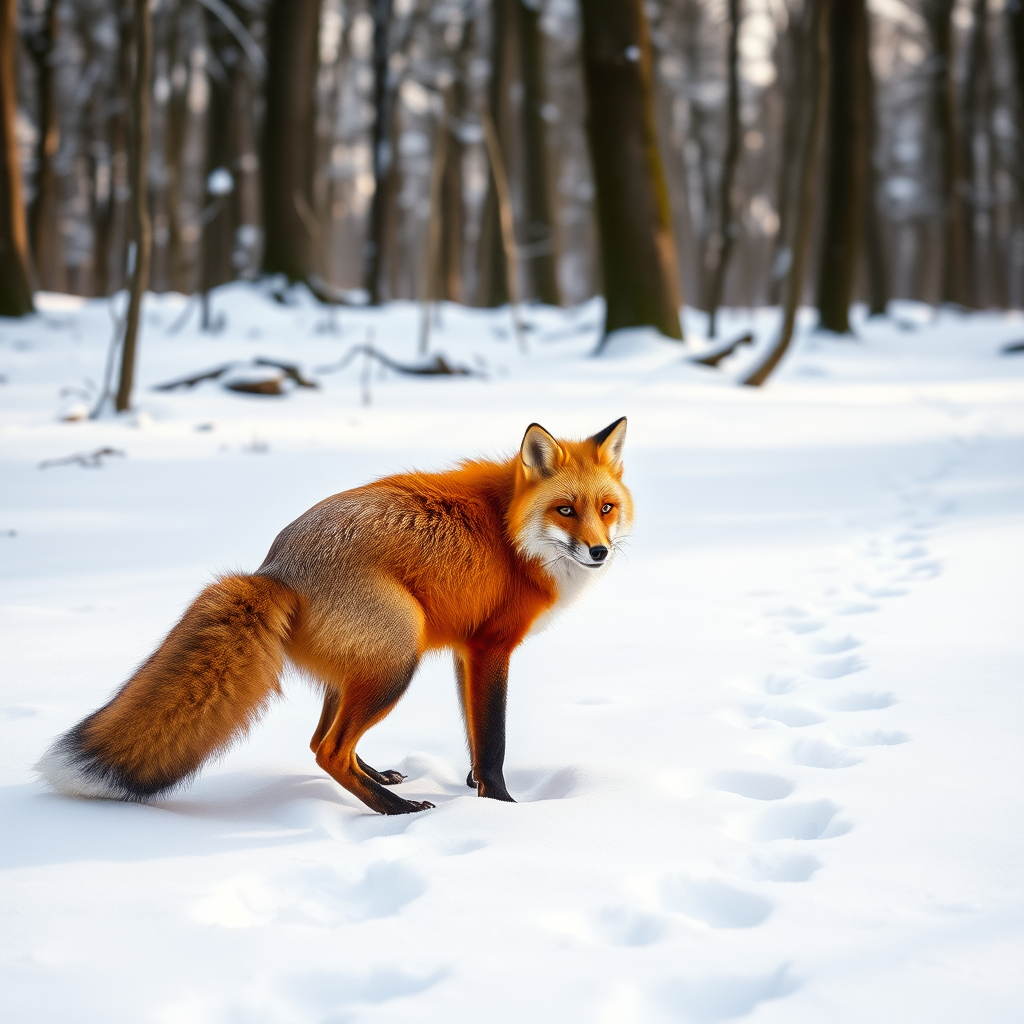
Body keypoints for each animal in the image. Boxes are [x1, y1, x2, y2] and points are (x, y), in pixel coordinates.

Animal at [37, 418, 632, 815]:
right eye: (564, 510)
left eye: (606, 508)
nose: (600, 552)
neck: (510, 535)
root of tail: (274, 570)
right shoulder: (492, 649)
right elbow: (493, 740)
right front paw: (503, 807)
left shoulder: (467, 651)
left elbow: (472, 731)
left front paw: (472, 788)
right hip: (398, 658)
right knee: (328, 751)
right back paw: (394, 809)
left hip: (357, 671)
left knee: (320, 740)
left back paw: (379, 778)